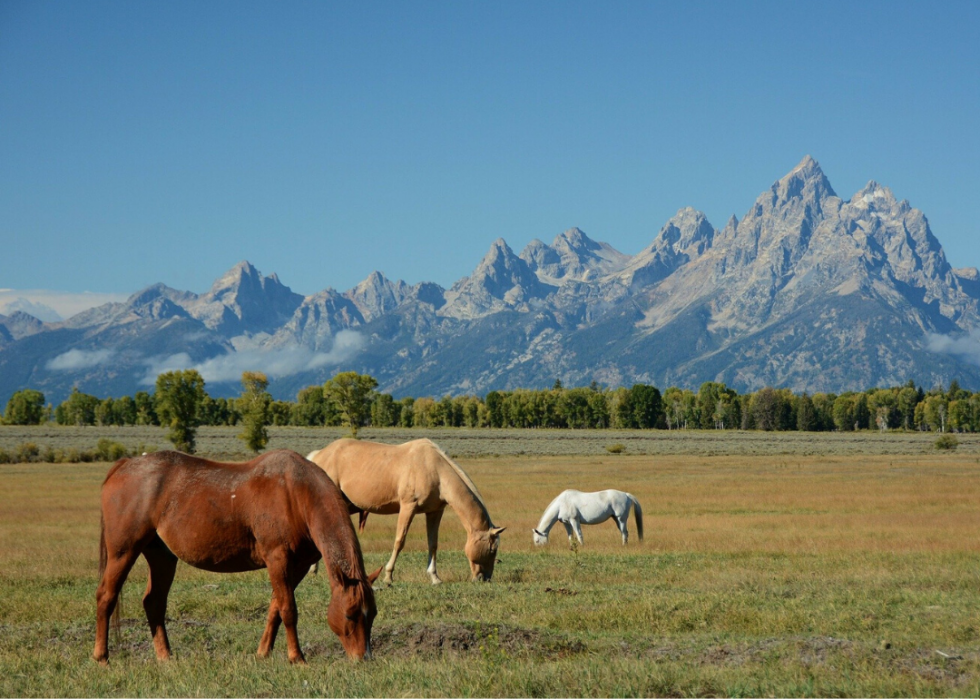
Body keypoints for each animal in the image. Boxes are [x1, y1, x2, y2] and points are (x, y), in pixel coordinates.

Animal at [92, 452, 380, 664]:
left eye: (373, 614)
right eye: (351, 615)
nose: (363, 658)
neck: (296, 493)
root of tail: (124, 465)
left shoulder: (297, 566)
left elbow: (275, 609)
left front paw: (263, 653)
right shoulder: (277, 559)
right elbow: (288, 609)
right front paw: (296, 658)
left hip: (162, 557)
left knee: (154, 602)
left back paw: (165, 657)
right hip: (123, 552)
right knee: (106, 596)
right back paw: (101, 656)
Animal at [306, 442, 506, 584]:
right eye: (492, 549)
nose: (484, 578)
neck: (435, 470)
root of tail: (318, 455)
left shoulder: (434, 512)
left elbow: (433, 544)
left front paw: (434, 577)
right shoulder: (408, 507)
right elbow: (399, 541)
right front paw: (388, 576)